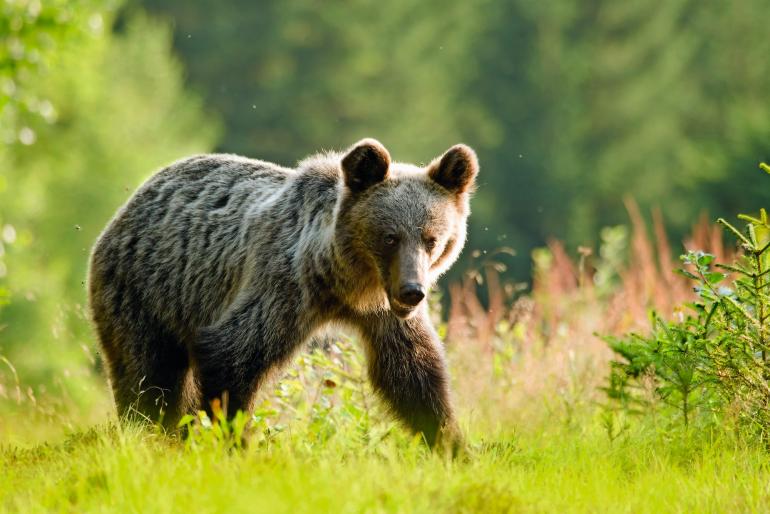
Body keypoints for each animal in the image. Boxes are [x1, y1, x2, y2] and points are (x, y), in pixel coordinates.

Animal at [88, 138, 474, 446]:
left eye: (431, 239)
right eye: (390, 237)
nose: (413, 292)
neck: (345, 284)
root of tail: (135, 199)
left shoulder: (383, 314)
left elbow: (413, 374)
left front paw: (451, 444)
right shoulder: (283, 285)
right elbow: (232, 354)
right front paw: (234, 440)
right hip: (145, 291)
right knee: (148, 377)